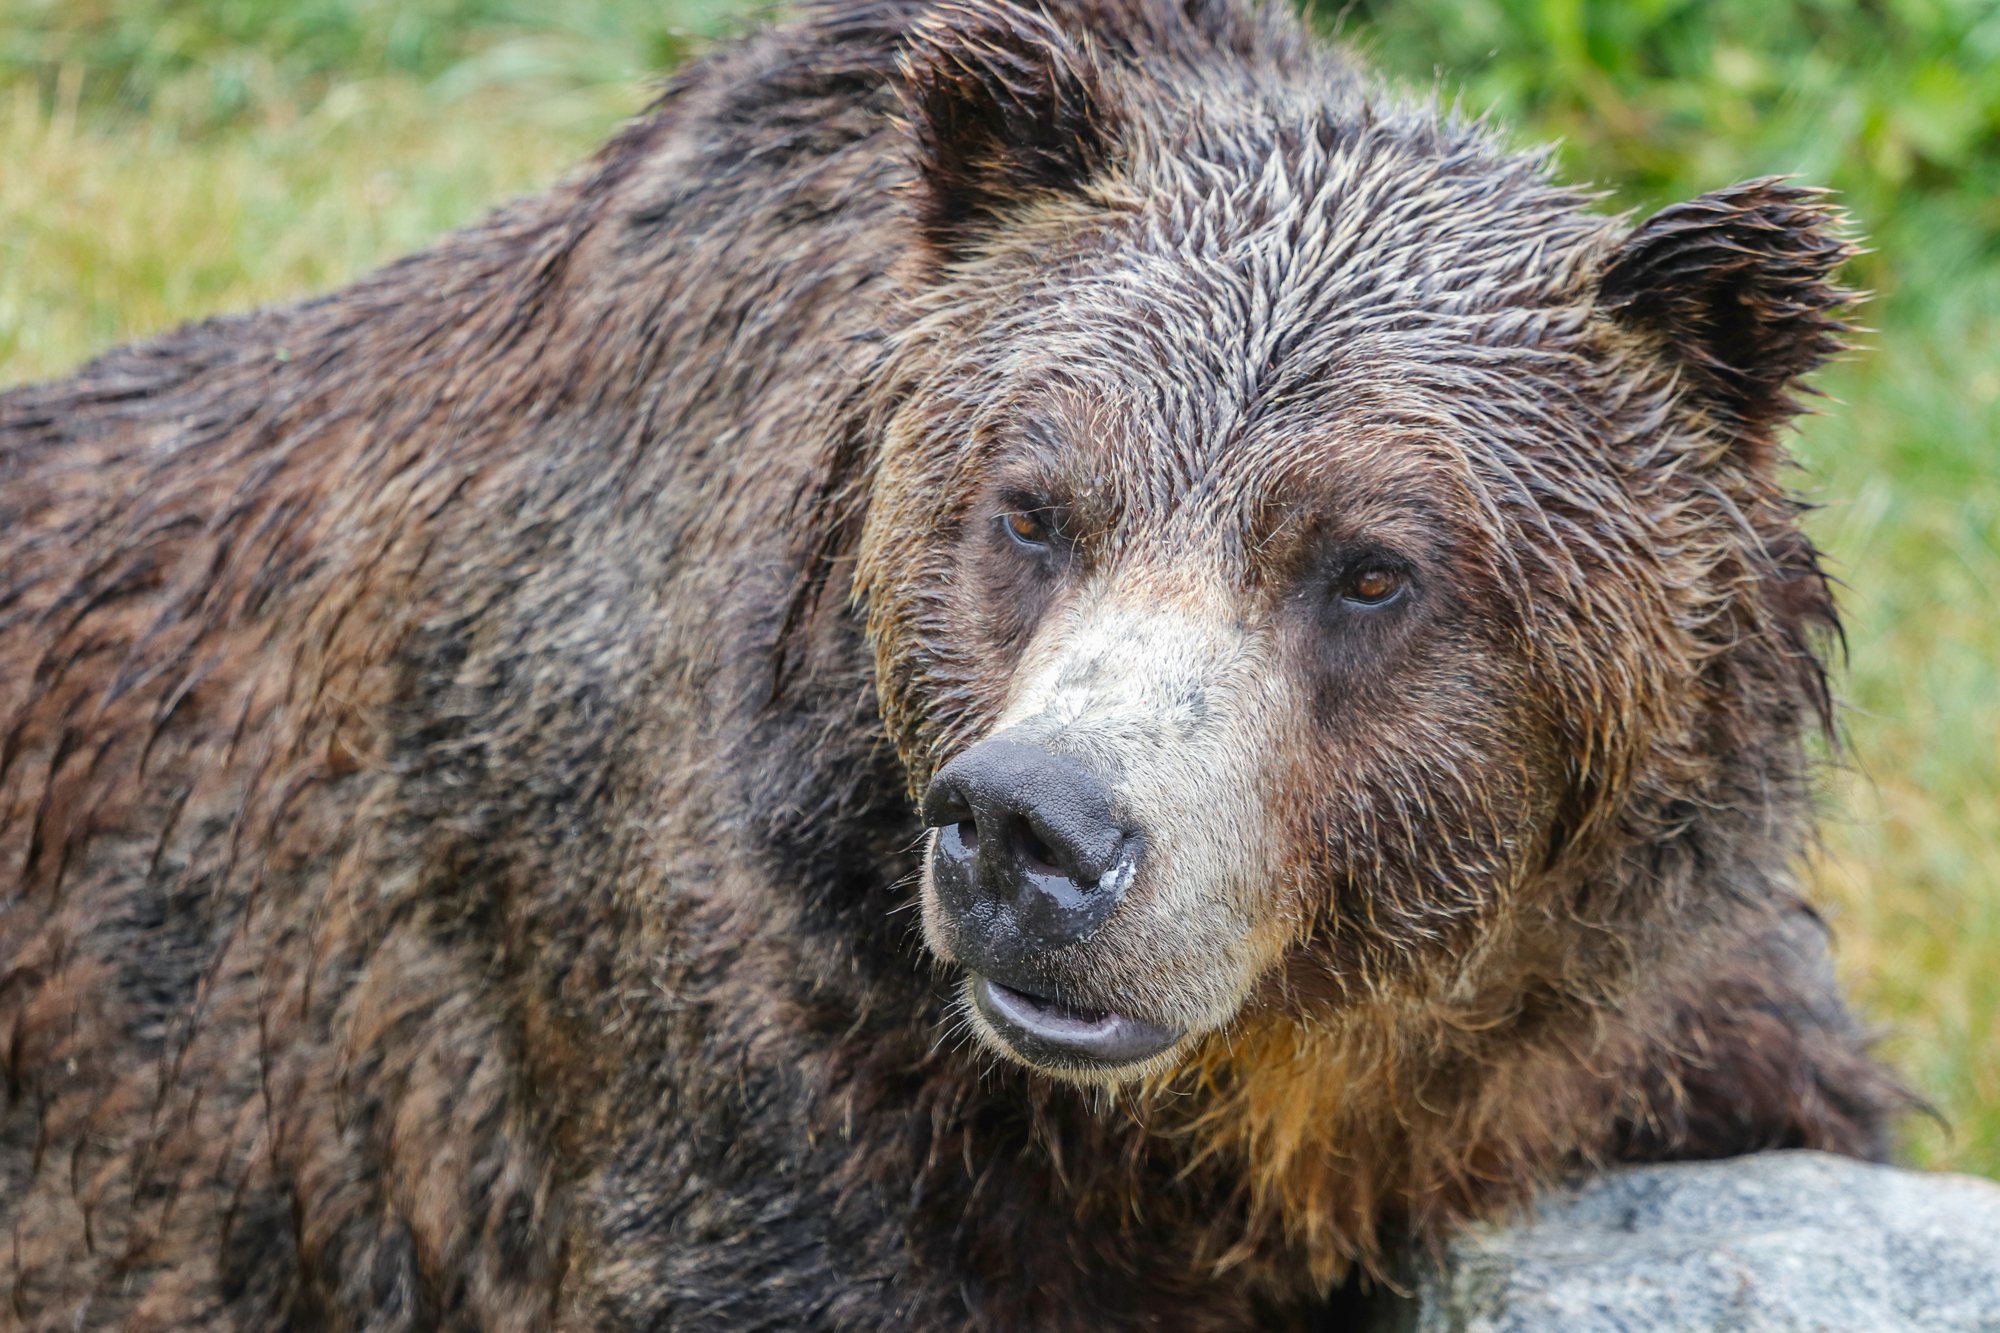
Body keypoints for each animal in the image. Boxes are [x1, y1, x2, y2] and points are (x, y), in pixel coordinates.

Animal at [0, 0, 1914, 1327]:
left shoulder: (1628, 1028)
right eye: (1034, 508)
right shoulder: (765, 1076)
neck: (1254, 1115)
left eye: (1372, 568)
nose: (1033, 830)